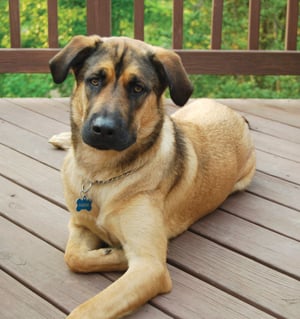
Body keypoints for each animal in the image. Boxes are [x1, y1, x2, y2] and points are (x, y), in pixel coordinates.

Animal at [48, 35, 255, 319]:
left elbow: (87, 309)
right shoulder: (80, 225)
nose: (103, 129)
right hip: (180, 115)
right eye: (94, 80)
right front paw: (112, 252)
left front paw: (117, 253)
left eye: (138, 88)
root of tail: (235, 114)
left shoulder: (150, 267)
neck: (101, 174)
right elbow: (73, 256)